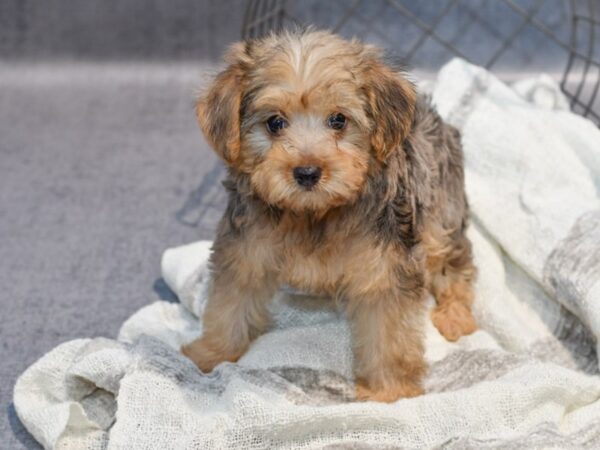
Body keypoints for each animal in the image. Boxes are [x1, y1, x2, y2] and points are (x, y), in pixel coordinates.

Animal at [183, 29, 478, 402]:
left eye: (339, 120)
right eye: (274, 123)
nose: (307, 172)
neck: (315, 214)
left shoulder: (385, 270)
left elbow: (388, 335)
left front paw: (389, 390)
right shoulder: (245, 249)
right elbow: (229, 304)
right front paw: (211, 352)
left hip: (441, 212)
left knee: (455, 262)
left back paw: (456, 315)